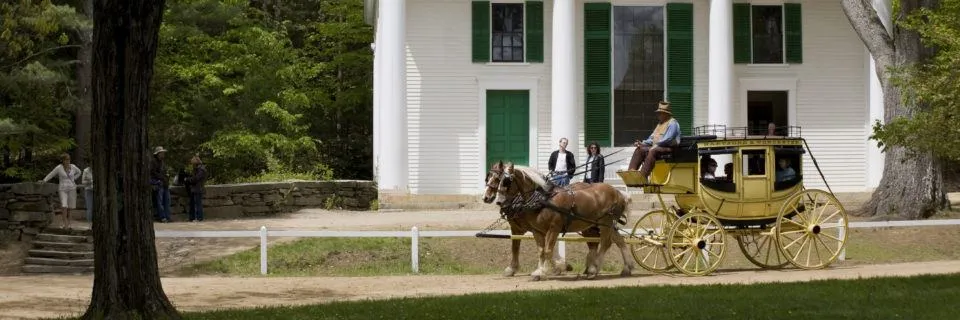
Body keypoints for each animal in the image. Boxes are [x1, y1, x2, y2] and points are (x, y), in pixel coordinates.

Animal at [496, 162, 636, 280]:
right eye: (498, 180)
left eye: (507, 181)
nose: (498, 201)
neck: (543, 199)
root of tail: (619, 193)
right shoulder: (537, 231)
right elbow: (541, 251)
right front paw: (539, 271)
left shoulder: (553, 228)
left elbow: (548, 250)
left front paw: (545, 271)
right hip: (603, 224)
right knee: (619, 240)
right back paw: (627, 268)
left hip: (606, 222)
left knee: (606, 243)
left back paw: (593, 269)